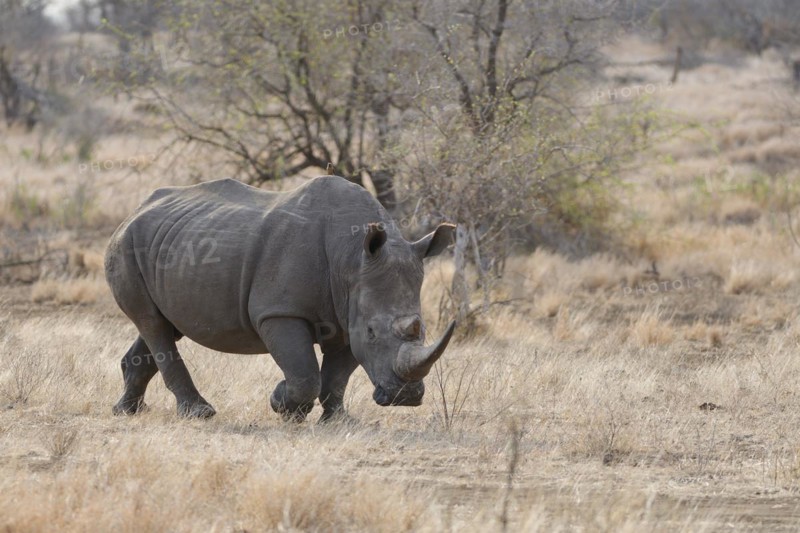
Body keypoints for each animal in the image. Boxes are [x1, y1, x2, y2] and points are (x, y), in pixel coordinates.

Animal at [104, 176, 456, 422]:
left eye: (423, 328)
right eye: (372, 331)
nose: (405, 397)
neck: (352, 258)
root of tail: (134, 212)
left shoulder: (348, 314)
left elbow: (337, 376)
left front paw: (339, 421)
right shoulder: (279, 312)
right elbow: (305, 375)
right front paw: (282, 404)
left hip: (171, 242)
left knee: (162, 325)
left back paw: (126, 411)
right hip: (126, 245)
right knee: (153, 324)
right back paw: (199, 414)